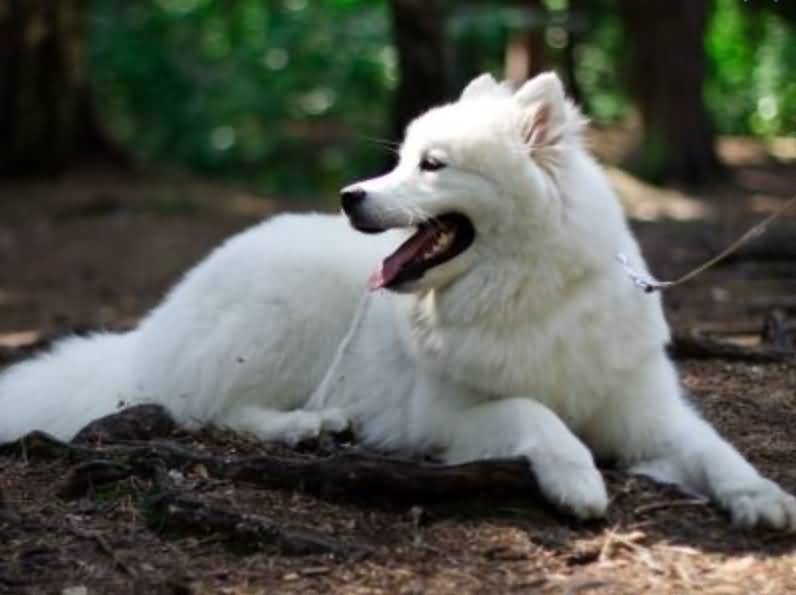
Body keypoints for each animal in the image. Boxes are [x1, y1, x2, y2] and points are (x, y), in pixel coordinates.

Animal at [1, 71, 796, 532]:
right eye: (400, 158)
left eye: (432, 164)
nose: (349, 195)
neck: (528, 292)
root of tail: (153, 328)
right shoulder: (442, 416)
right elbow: (534, 411)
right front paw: (576, 477)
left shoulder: (647, 413)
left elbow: (714, 448)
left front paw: (760, 496)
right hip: (283, 318)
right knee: (212, 409)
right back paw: (308, 425)